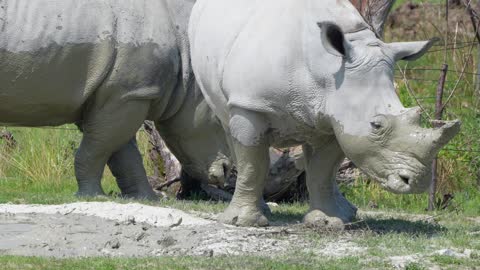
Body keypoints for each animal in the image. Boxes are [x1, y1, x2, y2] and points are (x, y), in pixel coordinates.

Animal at [0, 0, 232, 200]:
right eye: (219, 122)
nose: (227, 171)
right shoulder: (129, 94)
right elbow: (99, 148)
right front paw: (93, 197)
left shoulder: (121, 94)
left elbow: (121, 151)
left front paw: (149, 199)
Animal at [188, 0, 462, 228]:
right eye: (376, 126)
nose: (416, 182)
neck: (329, 69)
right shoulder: (250, 104)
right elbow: (253, 162)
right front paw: (243, 223)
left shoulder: (337, 115)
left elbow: (323, 167)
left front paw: (327, 221)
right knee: (228, 125)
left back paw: (346, 212)